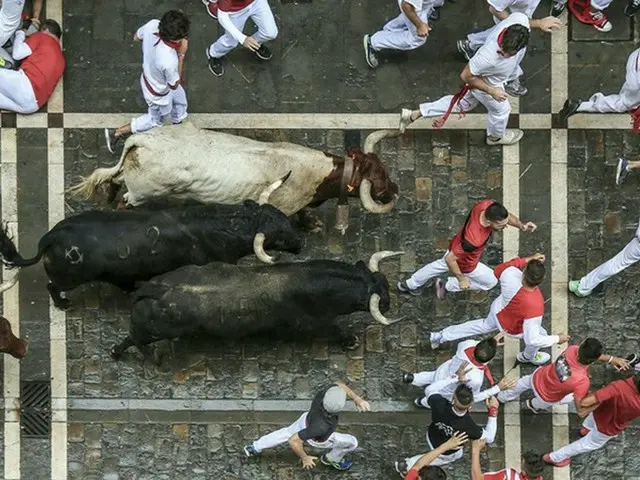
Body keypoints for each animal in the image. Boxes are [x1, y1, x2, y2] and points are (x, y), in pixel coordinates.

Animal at [0, 201, 302, 310]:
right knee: (53, 286)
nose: (300, 243)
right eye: (279, 235)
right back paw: (63, 304)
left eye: (283, 217)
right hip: (68, 279)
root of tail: (51, 237)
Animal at [70, 124, 400, 232]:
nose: (395, 189)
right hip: (140, 194)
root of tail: (140, 141)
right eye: (380, 178)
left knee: (114, 182)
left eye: (384, 168)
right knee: (124, 202)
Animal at [109, 253, 400, 358]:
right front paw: (350, 340)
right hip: (154, 330)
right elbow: (335, 330)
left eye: (383, 281)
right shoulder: (314, 323)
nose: (389, 302)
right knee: (133, 339)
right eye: (380, 296)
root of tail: (153, 288)